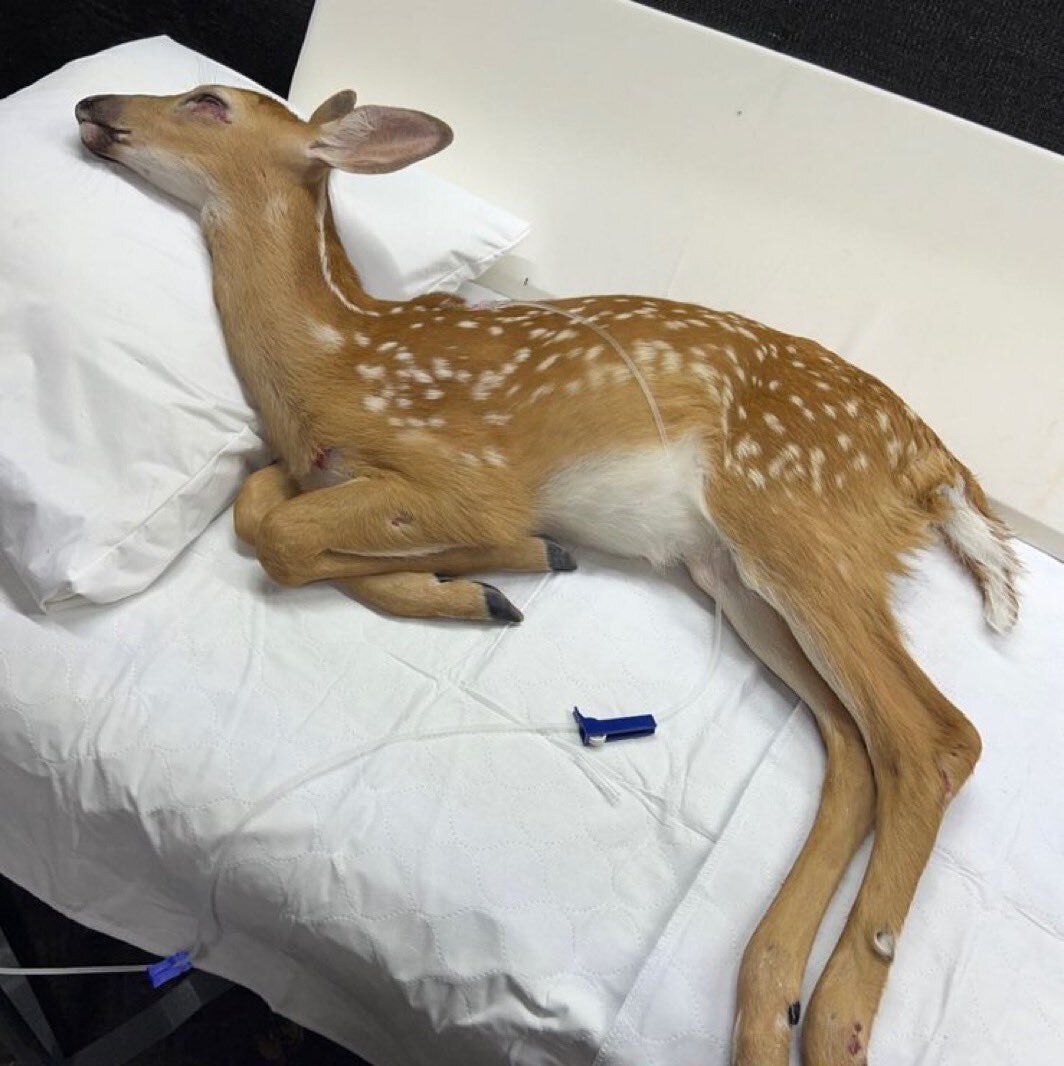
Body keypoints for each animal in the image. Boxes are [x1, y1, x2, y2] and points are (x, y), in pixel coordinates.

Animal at [75, 84, 1020, 1066]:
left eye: (208, 102)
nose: (93, 103)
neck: (334, 359)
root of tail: (931, 463)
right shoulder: (318, 470)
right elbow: (259, 509)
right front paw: (487, 586)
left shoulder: (468, 476)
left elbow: (287, 537)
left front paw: (506, 564)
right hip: (737, 576)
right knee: (852, 748)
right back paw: (768, 1007)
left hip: (793, 513)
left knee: (934, 736)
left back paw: (835, 1016)